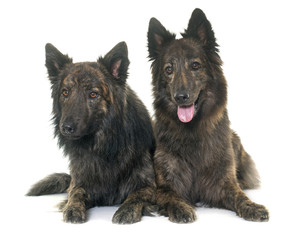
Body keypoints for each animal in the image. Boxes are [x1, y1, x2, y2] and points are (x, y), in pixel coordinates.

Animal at [26, 42, 156, 224]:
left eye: (93, 94)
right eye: (65, 92)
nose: (66, 127)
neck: (102, 147)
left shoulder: (148, 185)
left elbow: (136, 196)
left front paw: (126, 210)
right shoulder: (79, 181)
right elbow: (75, 194)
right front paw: (72, 208)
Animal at [148, 9, 270, 223]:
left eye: (195, 65)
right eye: (169, 69)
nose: (181, 97)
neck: (192, 131)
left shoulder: (222, 182)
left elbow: (239, 195)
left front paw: (252, 206)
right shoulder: (165, 184)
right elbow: (171, 196)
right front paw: (181, 208)